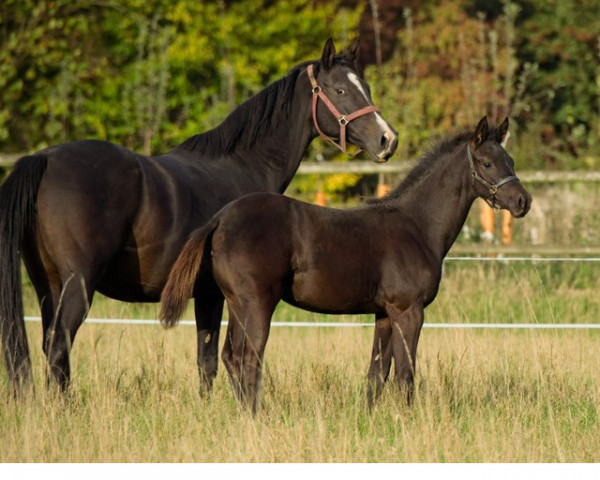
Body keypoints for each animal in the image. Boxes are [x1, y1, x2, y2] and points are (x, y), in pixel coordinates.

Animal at [159, 116, 528, 412]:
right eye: (487, 163)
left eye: (510, 159)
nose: (523, 201)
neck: (416, 225)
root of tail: (220, 219)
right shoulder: (409, 310)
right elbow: (405, 374)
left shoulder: (384, 314)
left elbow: (377, 373)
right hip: (257, 304)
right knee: (249, 359)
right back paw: (255, 418)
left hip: (237, 304)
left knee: (230, 357)